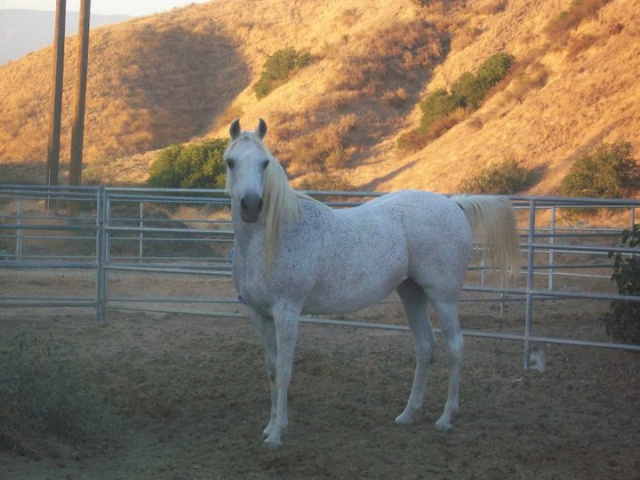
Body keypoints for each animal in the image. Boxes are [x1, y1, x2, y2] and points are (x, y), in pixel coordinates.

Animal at [225, 118, 520, 448]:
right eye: (230, 162)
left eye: (265, 163)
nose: (252, 206)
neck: (275, 236)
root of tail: (454, 205)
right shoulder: (259, 314)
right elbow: (272, 370)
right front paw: (269, 426)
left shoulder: (286, 312)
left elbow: (285, 370)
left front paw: (277, 434)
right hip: (412, 293)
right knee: (425, 347)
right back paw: (407, 414)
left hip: (442, 297)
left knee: (455, 346)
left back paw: (445, 418)